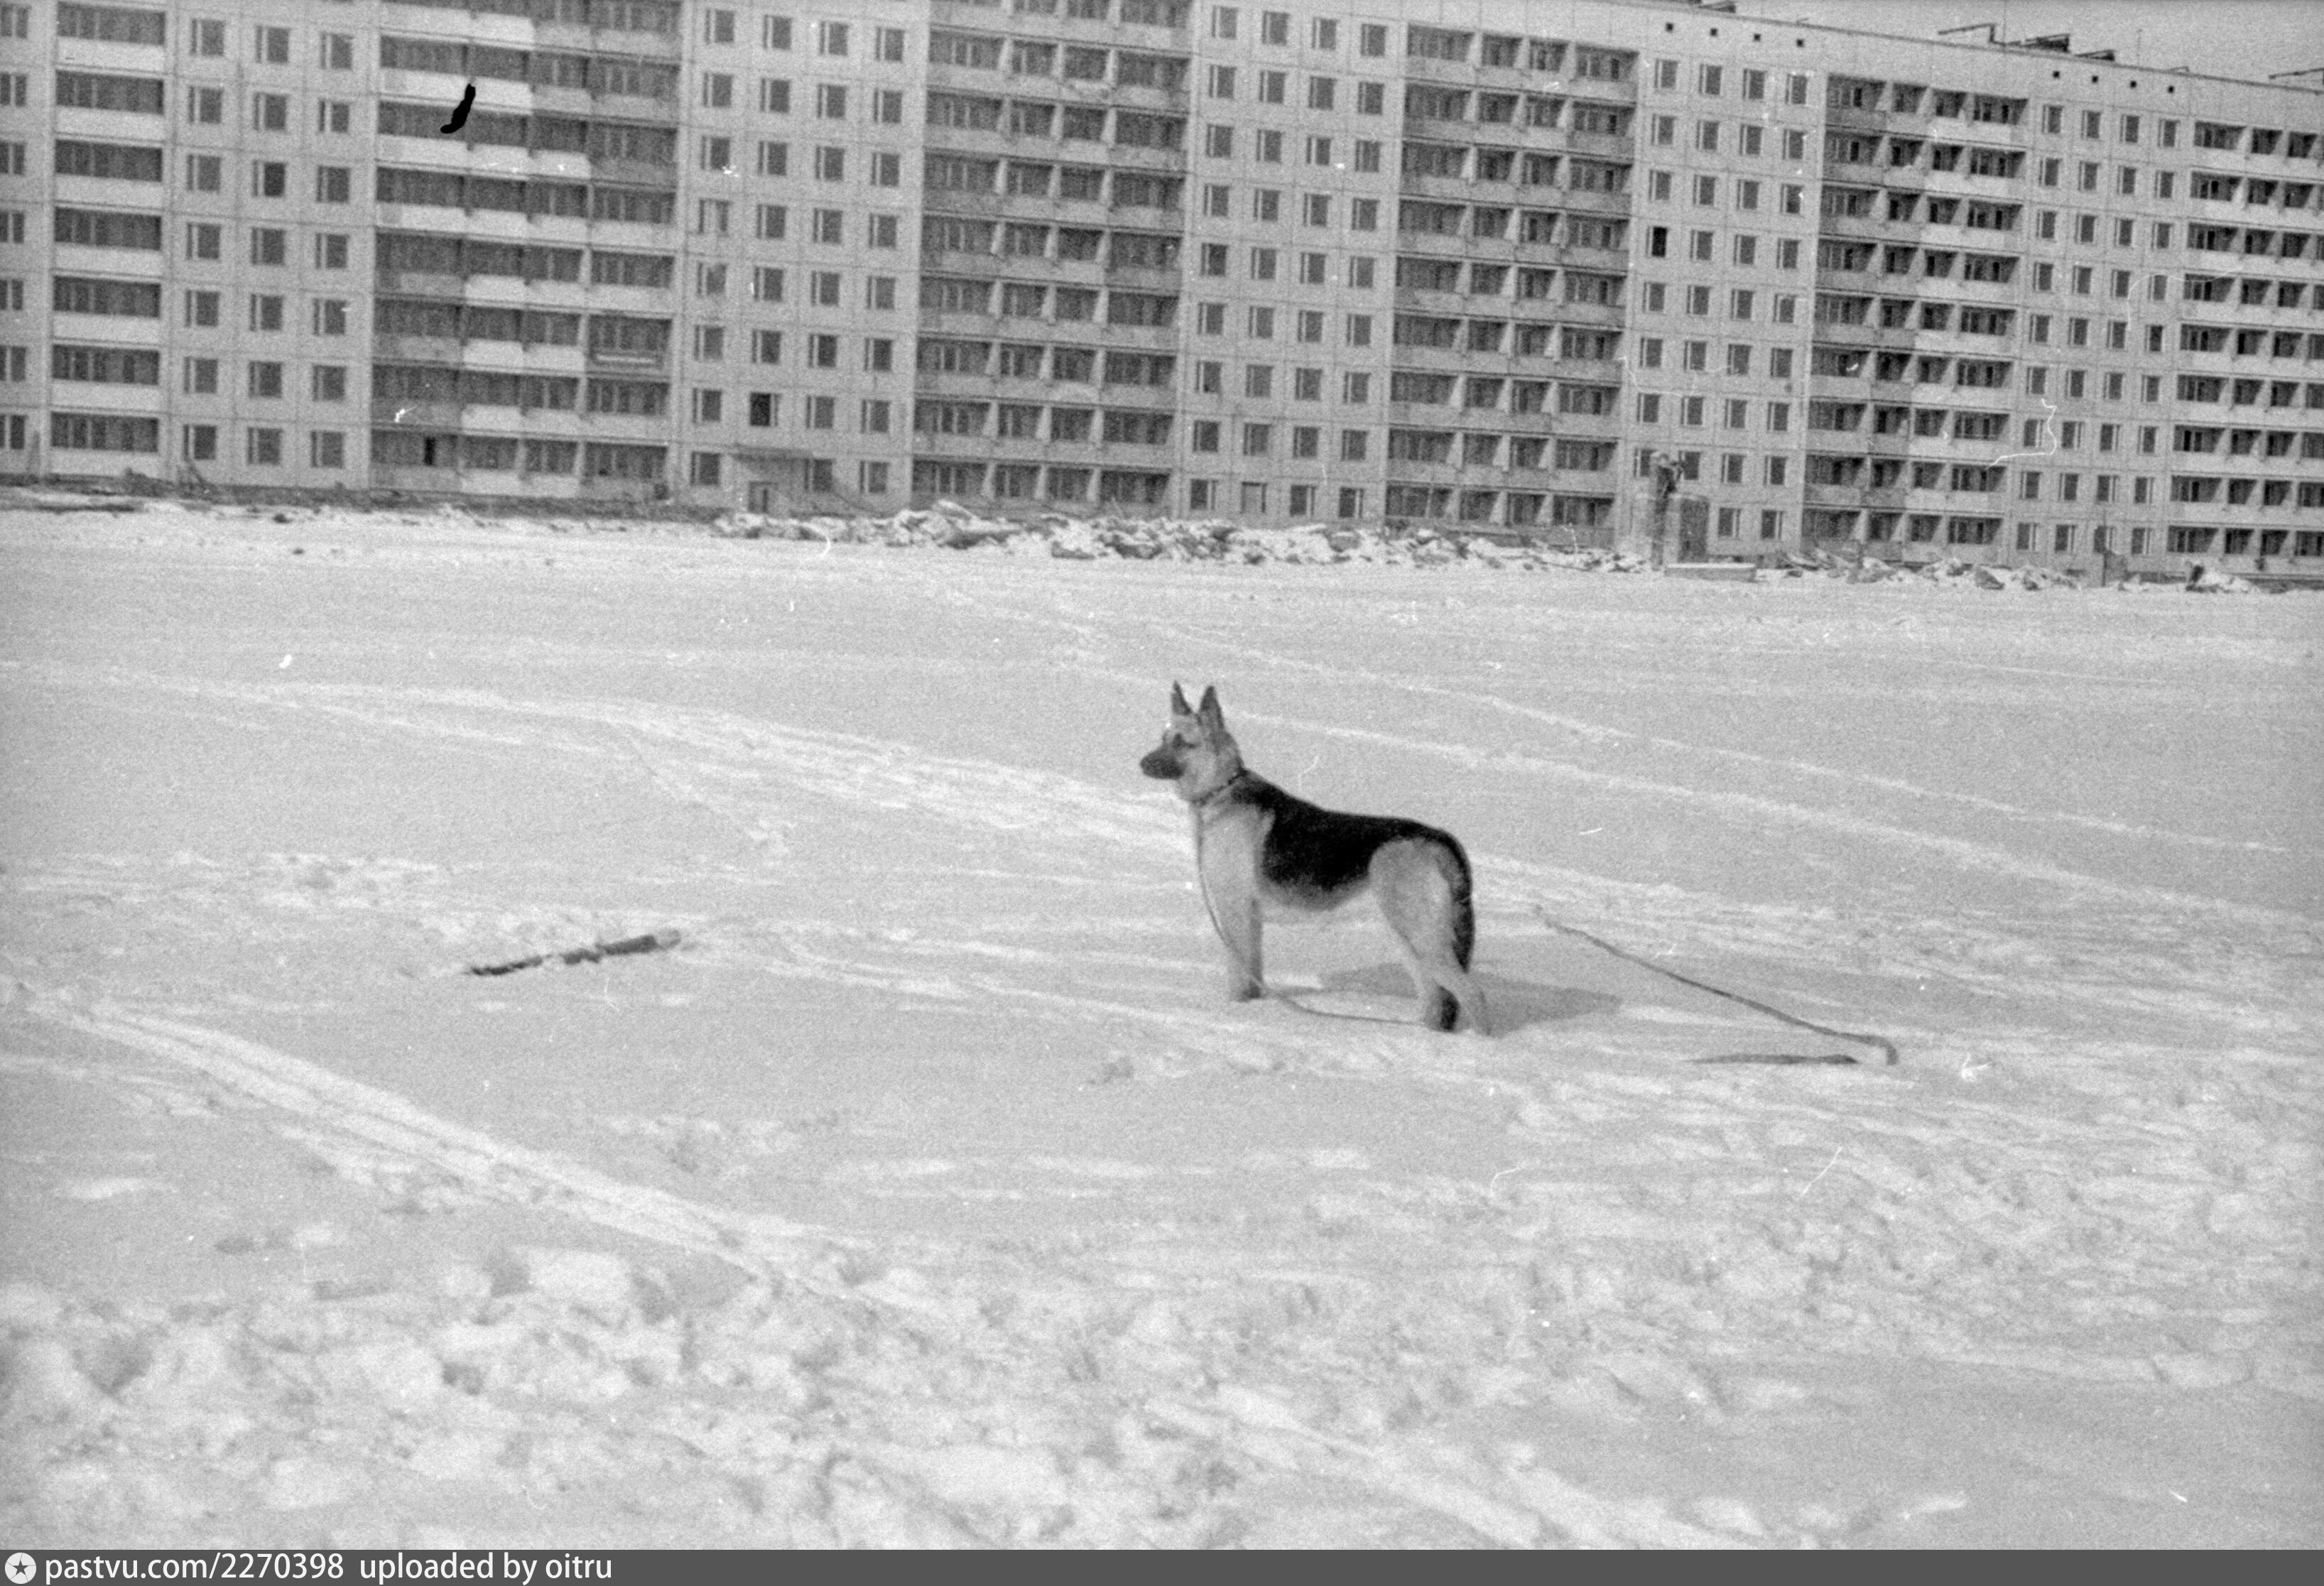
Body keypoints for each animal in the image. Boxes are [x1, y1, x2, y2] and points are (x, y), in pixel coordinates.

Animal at [1140, 683, 1487, 1034]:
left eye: (1182, 743)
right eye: (1163, 738)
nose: (1140, 764)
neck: (1220, 790)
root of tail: (1437, 838)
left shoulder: (1233, 913)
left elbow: (1238, 982)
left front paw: (1235, 1014)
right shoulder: (1251, 921)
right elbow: (1254, 977)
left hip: (1420, 939)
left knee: (1472, 994)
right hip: (1407, 941)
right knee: (1435, 1000)